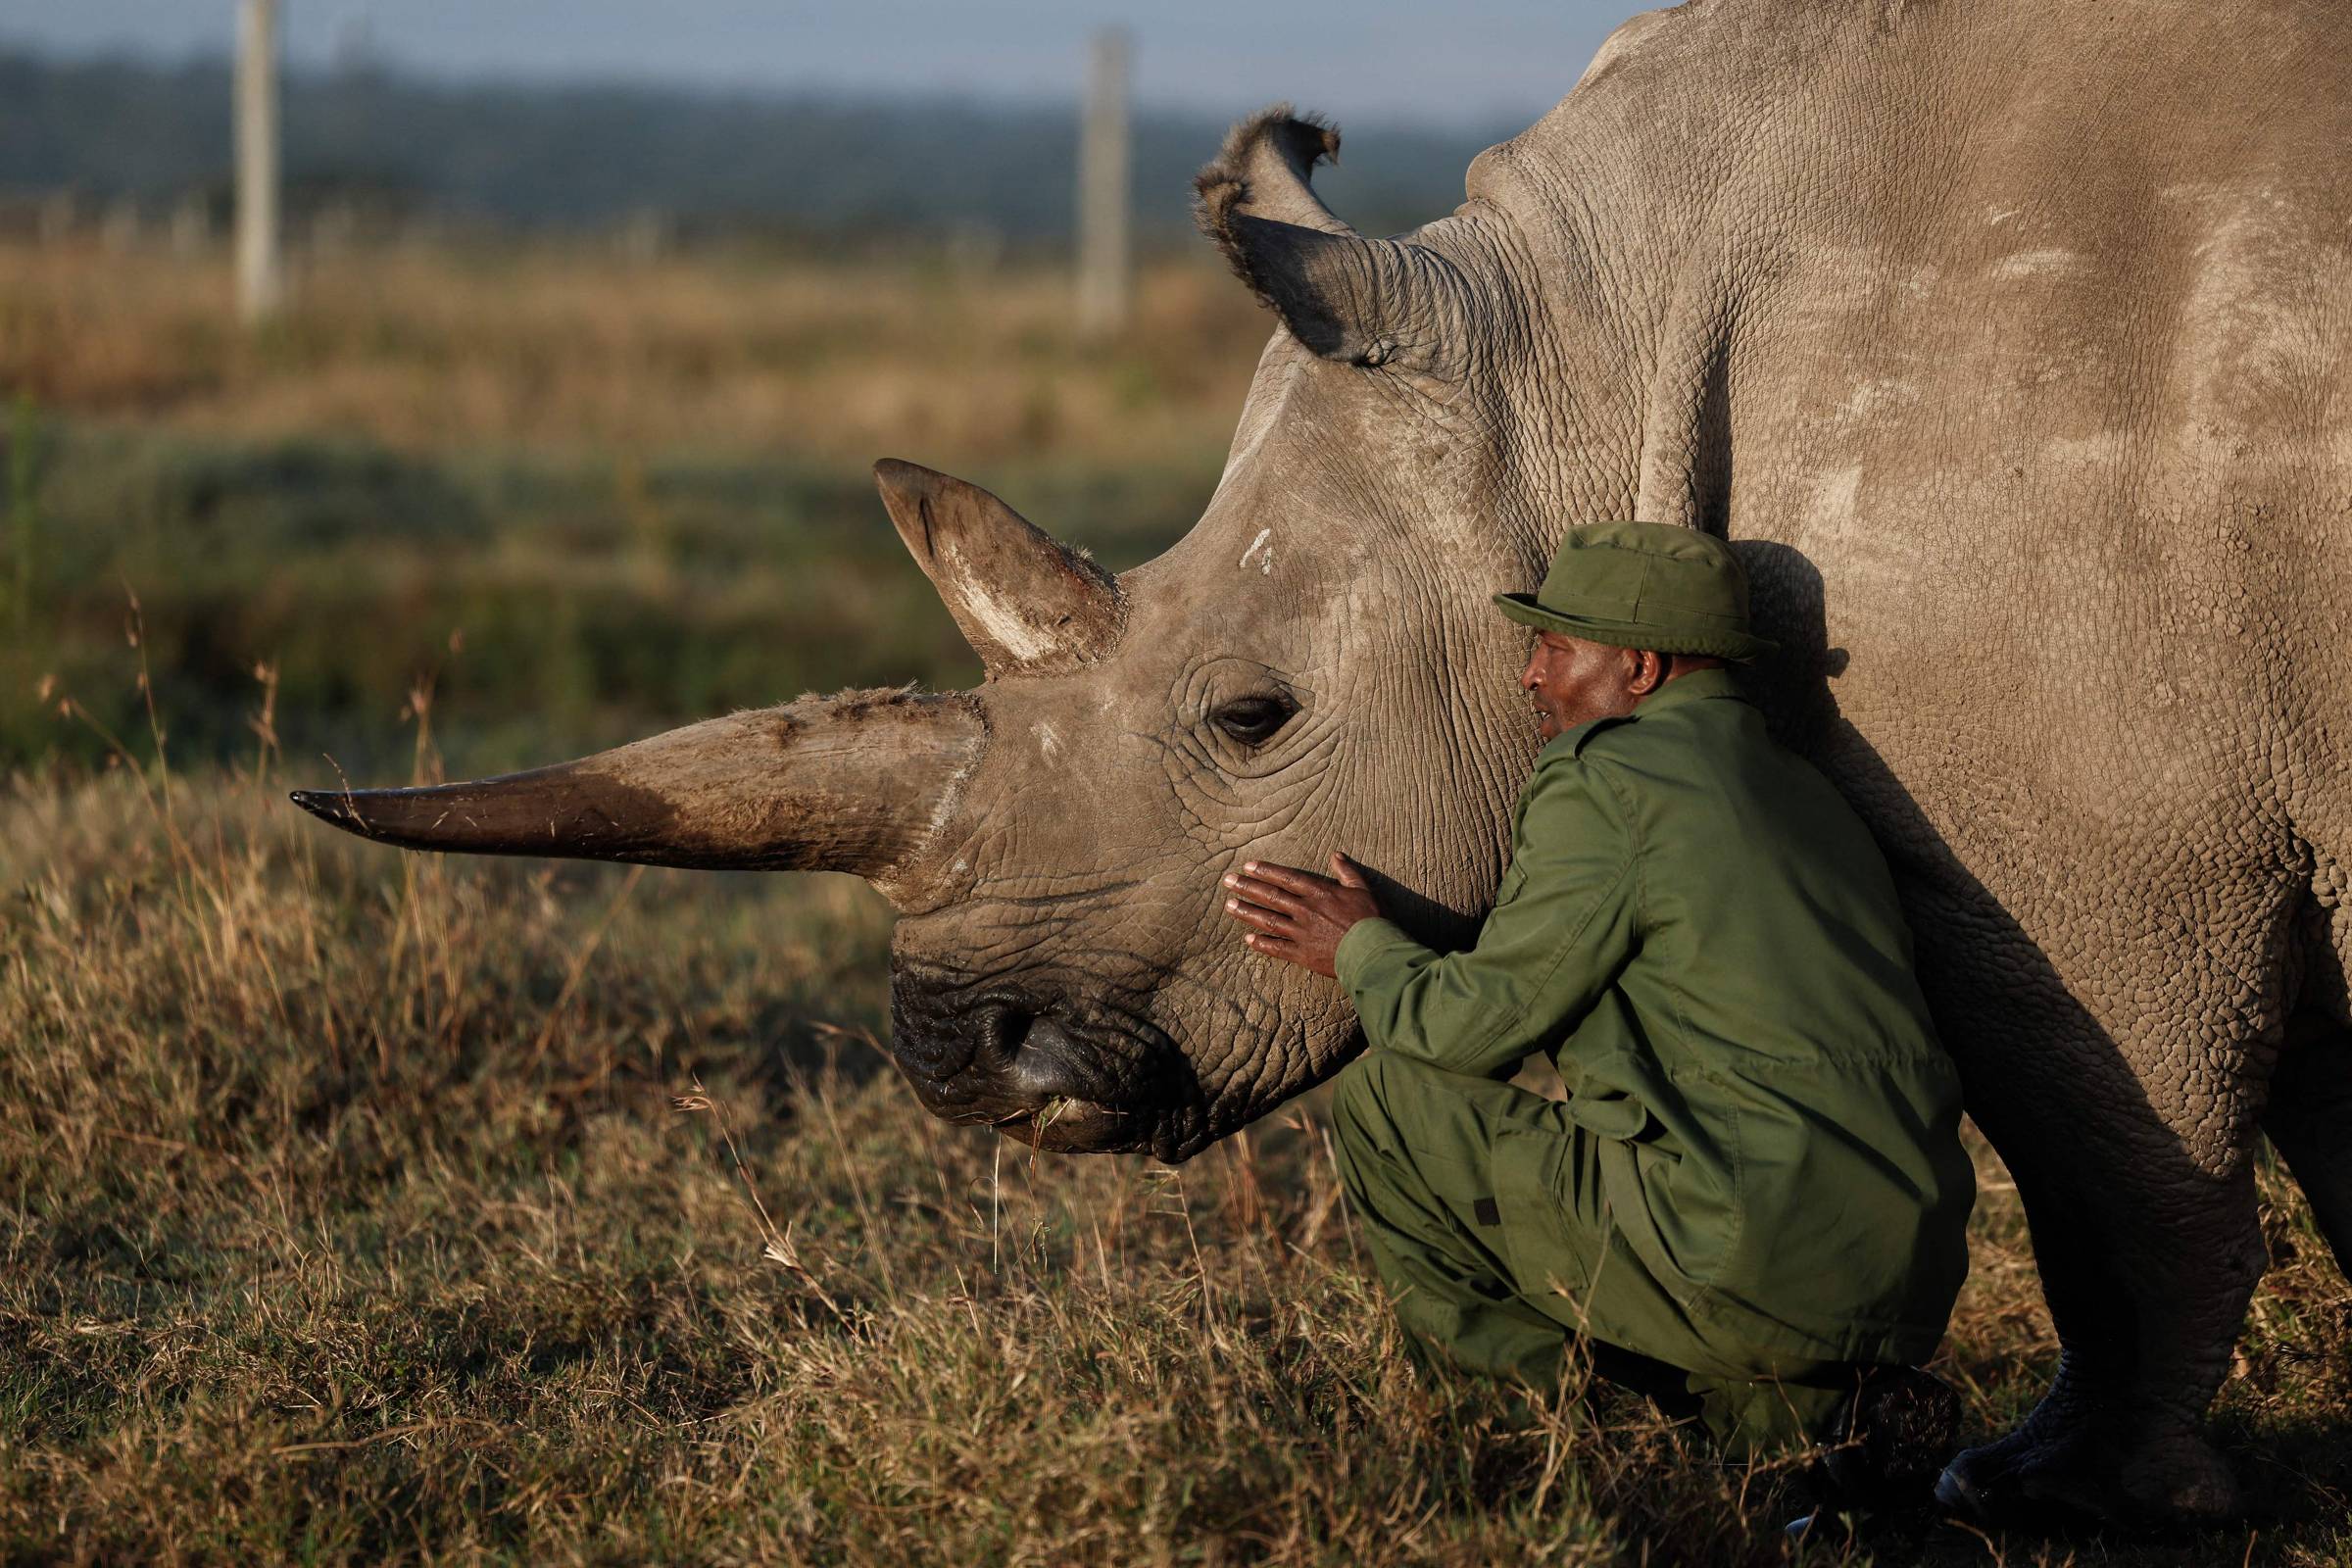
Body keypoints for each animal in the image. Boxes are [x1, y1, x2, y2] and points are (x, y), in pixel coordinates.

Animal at [298, 0, 2352, 1523]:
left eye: (1252, 722)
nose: (961, 1065)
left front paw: (2064, 1494)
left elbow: (2118, 1144)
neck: (1584, 343)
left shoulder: (2098, 835)